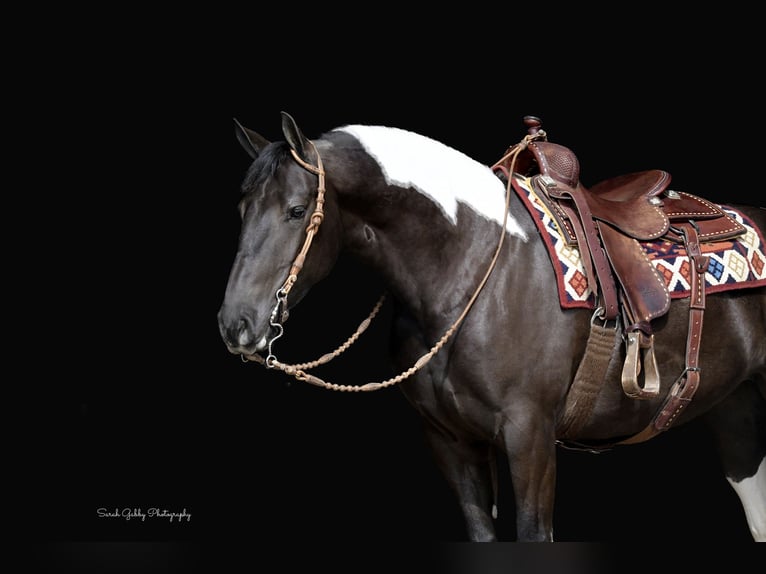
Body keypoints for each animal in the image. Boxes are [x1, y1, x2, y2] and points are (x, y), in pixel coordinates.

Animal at [217, 111, 766, 542]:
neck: (472, 261)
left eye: (296, 211)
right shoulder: (451, 443)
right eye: (242, 208)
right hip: (736, 416)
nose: (235, 325)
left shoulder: (530, 439)